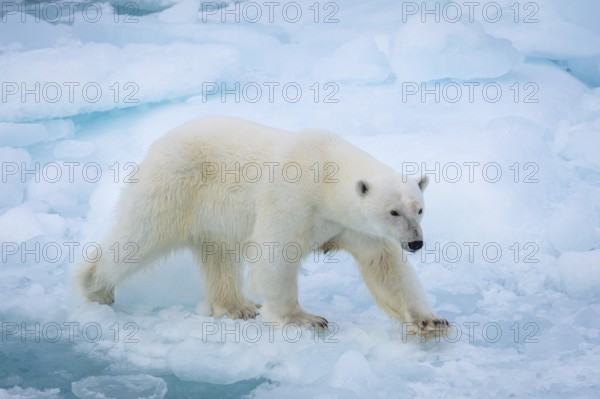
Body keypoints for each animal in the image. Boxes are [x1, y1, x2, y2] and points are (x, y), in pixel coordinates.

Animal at [77, 117, 448, 332]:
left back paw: (238, 305)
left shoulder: (351, 225)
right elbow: (275, 254)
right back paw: (95, 286)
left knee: (218, 254)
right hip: (175, 185)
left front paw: (431, 319)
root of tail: (162, 140)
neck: (325, 171)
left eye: (419, 209)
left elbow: (385, 266)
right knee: (139, 237)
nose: (416, 243)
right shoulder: (293, 198)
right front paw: (305, 319)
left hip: (212, 214)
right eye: (393, 212)